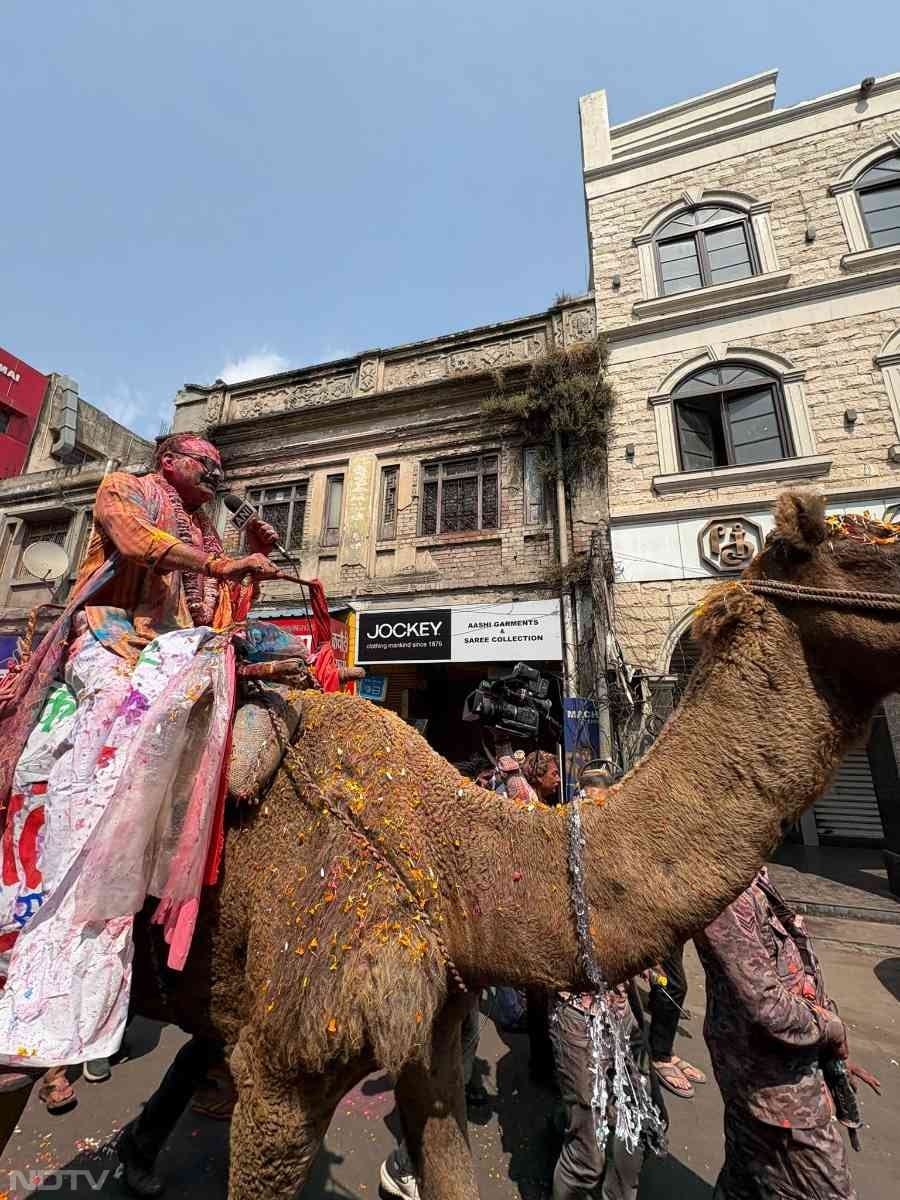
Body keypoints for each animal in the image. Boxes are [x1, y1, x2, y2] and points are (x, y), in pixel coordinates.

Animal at [10, 489, 900, 1200]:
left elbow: (449, 1161)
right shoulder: (287, 1061)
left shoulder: (430, 1034)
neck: (446, 850)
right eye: (869, 552)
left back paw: (138, 1155)